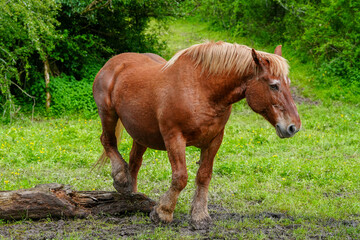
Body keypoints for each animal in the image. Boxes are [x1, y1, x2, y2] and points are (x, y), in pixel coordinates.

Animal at [92, 41, 300, 229]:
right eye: (274, 85)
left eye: (288, 84)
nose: (293, 127)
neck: (202, 90)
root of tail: (114, 62)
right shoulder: (174, 137)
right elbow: (180, 177)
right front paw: (163, 212)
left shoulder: (214, 140)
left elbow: (203, 176)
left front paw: (199, 216)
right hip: (108, 114)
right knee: (108, 141)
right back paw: (121, 178)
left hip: (141, 133)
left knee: (135, 162)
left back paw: (133, 197)